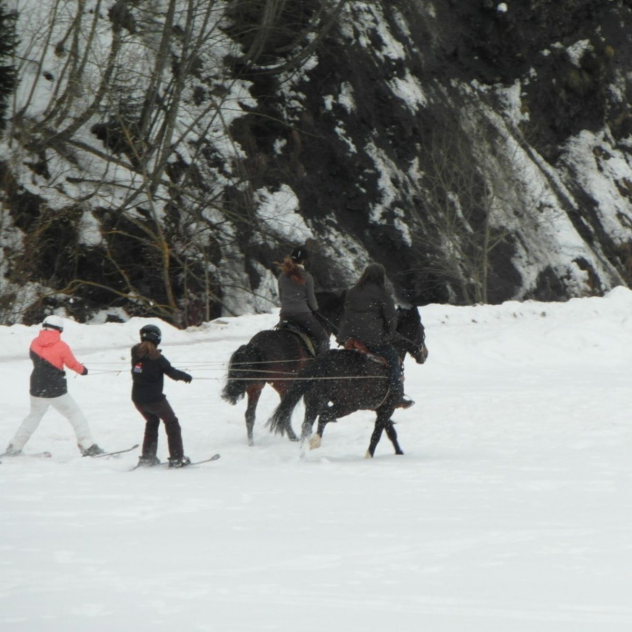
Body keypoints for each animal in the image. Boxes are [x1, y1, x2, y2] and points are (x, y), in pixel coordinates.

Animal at [220, 292, 344, 444]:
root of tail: (255, 346)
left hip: (256, 386)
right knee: (285, 410)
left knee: (250, 415)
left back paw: (251, 443)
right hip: (284, 385)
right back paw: (293, 437)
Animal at [264, 304, 428, 456]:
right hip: (347, 405)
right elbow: (377, 435)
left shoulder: (381, 407)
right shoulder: (388, 407)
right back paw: (315, 442)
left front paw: (399, 452)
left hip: (314, 400)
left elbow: (390, 432)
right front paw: (370, 456)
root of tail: (323, 362)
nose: (425, 354)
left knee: (307, 426)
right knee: (324, 417)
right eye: (421, 328)